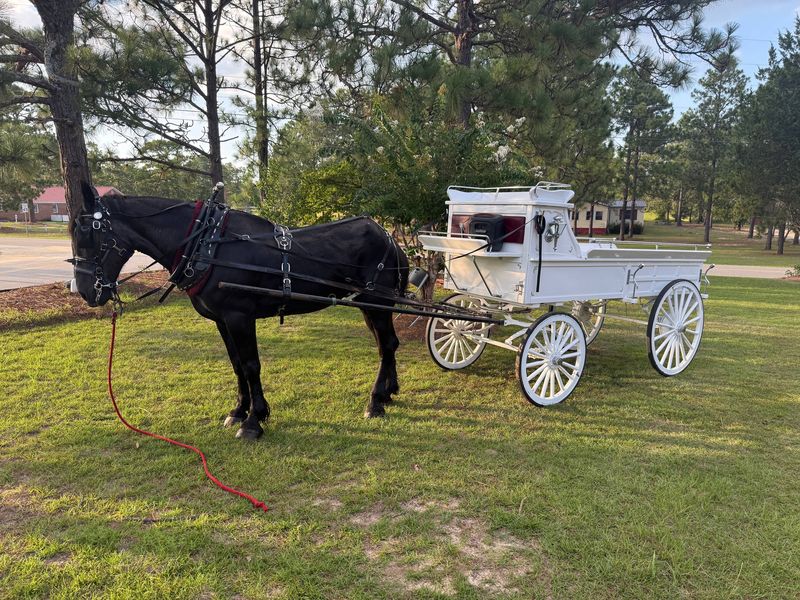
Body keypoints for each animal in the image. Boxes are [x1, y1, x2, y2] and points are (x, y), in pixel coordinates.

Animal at [70, 183, 409, 440]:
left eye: (89, 235)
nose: (86, 291)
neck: (207, 244)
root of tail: (388, 236)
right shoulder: (222, 320)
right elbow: (235, 365)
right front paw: (238, 410)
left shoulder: (239, 316)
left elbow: (250, 365)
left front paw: (254, 421)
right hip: (368, 305)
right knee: (387, 345)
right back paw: (388, 392)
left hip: (376, 302)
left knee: (386, 345)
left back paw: (375, 402)